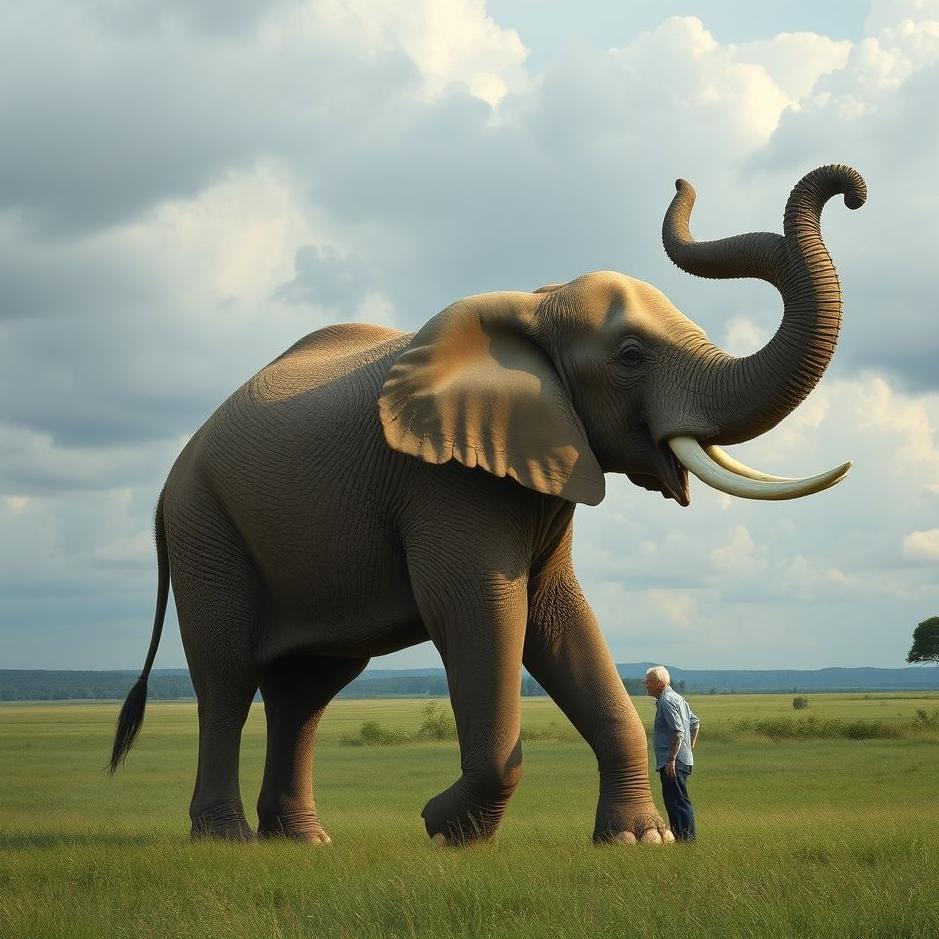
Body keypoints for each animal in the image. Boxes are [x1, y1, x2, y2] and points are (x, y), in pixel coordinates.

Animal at [111, 164, 865, 846]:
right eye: (629, 356)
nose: (852, 191)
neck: (535, 307)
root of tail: (169, 482)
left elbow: (556, 614)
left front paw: (635, 841)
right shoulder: (443, 480)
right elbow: (477, 607)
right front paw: (445, 828)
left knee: (308, 690)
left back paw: (301, 840)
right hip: (206, 523)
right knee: (227, 675)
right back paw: (227, 838)